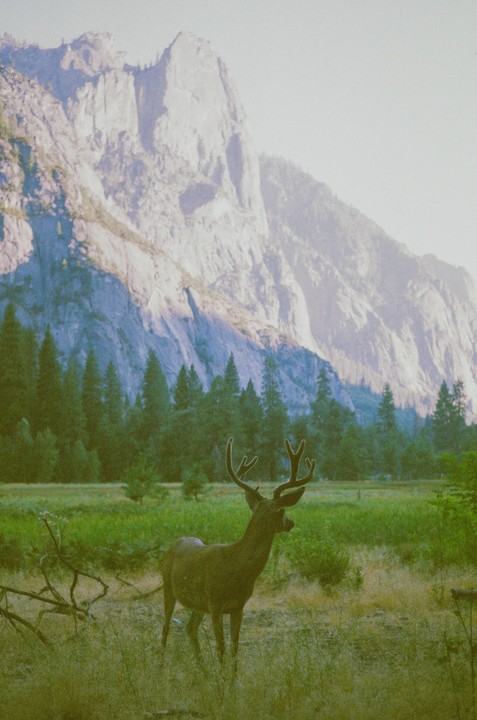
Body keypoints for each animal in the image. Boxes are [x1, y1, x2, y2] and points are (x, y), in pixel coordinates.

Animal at [160, 437, 315, 666]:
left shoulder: (238, 606)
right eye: (282, 511)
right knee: (165, 629)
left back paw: (203, 670)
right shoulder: (215, 603)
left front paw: (231, 675)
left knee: (190, 628)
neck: (237, 568)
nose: (291, 523)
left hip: (198, 605)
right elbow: (221, 648)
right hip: (168, 588)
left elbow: (234, 648)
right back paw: (162, 667)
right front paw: (221, 676)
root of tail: (172, 545)